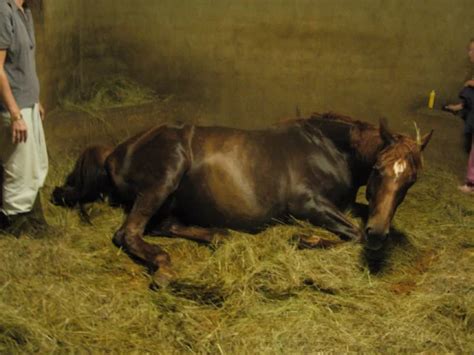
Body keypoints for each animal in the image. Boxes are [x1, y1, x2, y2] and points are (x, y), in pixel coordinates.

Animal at [51, 112, 434, 286]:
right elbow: (351, 233)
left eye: (411, 180)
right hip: (164, 177)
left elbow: (357, 219)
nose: (379, 233)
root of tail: (116, 152)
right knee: (129, 232)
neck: (329, 149)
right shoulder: (307, 203)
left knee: (164, 226)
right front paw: (305, 239)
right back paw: (164, 268)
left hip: (170, 201)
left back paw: (219, 237)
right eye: (379, 169)